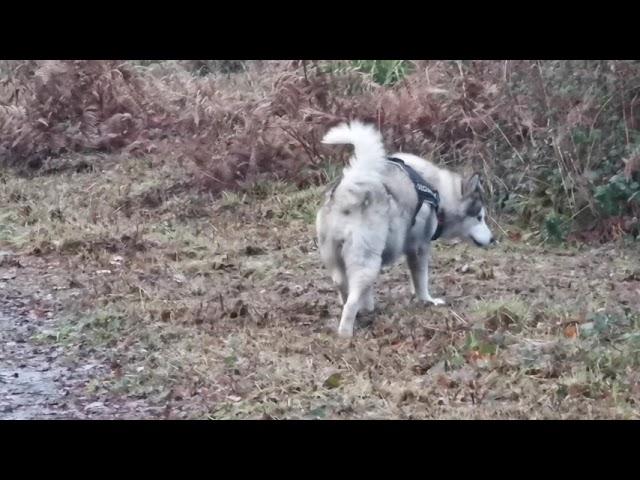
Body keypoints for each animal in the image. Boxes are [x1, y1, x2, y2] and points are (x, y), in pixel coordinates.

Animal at [316, 120, 496, 338]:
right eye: (479, 217)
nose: (493, 239)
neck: (438, 193)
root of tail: (350, 188)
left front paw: (368, 306)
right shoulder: (418, 248)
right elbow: (421, 280)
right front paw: (428, 300)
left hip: (338, 262)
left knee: (344, 290)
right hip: (366, 263)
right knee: (350, 303)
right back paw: (346, 334)